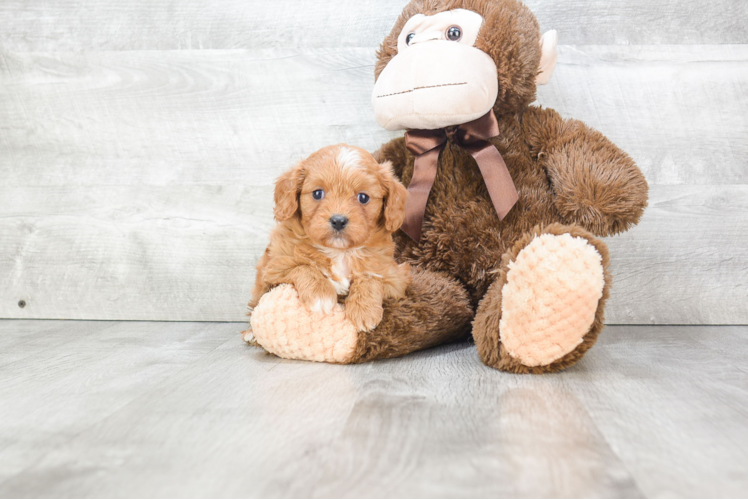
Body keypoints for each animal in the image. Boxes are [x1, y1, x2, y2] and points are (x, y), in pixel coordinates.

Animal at [251, 144, 414, 332]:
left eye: (363, 197)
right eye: (317, 193)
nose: (338, 221)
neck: (340, 252)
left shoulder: (395, 278)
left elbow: (371, 278)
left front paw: (364, 311)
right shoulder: (273, 269)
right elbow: (303, 267)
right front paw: (320, 294)